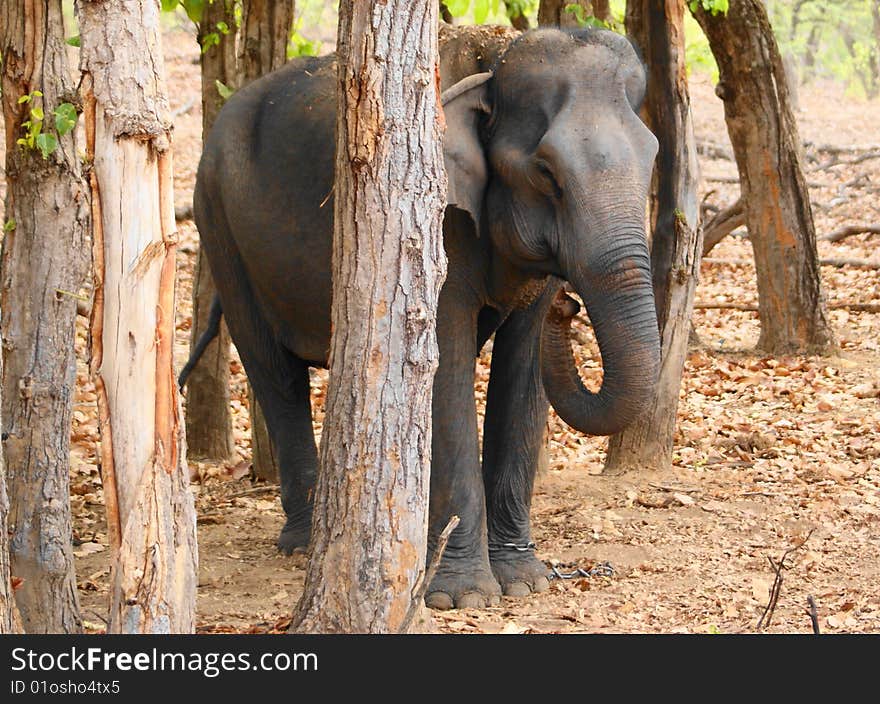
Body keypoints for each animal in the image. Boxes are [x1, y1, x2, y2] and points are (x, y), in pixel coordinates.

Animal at [191, 26, 660, 612]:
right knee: (275, 372)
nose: (568, 306)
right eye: (546, 173)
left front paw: (523, 582)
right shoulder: (438, 220)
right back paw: (302, 546)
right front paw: (463, 598)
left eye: (653, 158)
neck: (496, 59)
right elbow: (445, 360)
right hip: (221, 229)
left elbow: (523, 368)